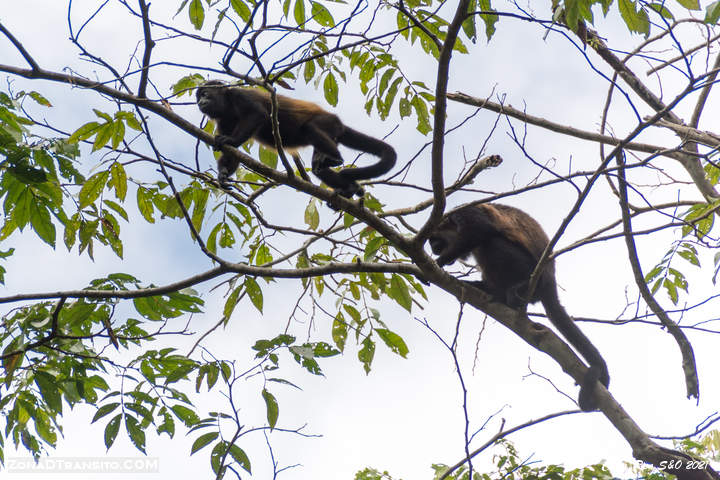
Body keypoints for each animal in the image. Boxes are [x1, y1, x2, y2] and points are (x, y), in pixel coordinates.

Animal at [195, 80, 400, 197]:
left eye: (205, 94)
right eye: (198, 98)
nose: (199, 102)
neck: (227, 105)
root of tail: (339, 123)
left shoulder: (240, 96)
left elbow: (258, 114)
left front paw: (230, 141)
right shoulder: (222, 120)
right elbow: (232, 153)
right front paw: (222, 174)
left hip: (327, 123)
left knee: (311, 129)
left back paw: (336, 159)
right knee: (319, 168)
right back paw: (349, 188)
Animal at [430, 202, 612, 412]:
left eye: (434, 241)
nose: (434, 250)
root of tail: (549, 281)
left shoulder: (465, 212)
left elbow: (481, 230)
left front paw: (440, 262)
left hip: (531, 272)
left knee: (491, 242)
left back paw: (519, 287)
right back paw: (492, 291)